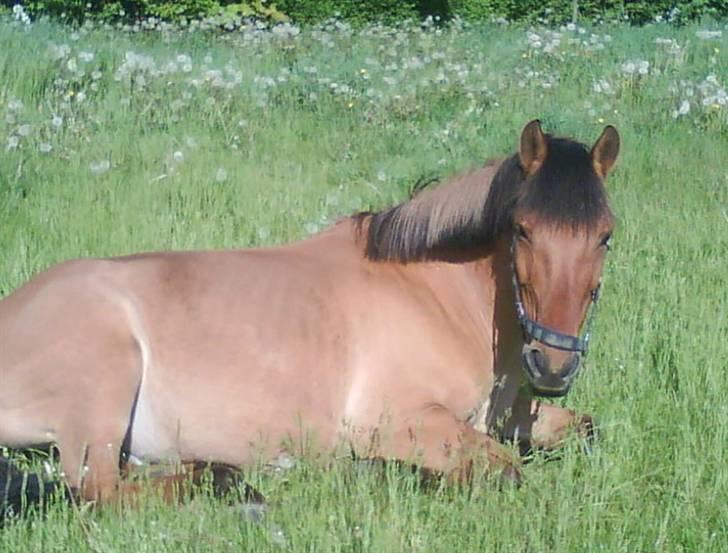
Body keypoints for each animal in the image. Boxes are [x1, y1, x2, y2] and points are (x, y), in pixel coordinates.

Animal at [0, 119, 616, 512]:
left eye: (605, 236)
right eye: (523, 230)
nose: (553, 366)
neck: (432, 293)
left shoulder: (505, 414)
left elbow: (585, 428)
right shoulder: (404, 420)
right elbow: (504, 471)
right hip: (105, 387)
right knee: (96, 491)